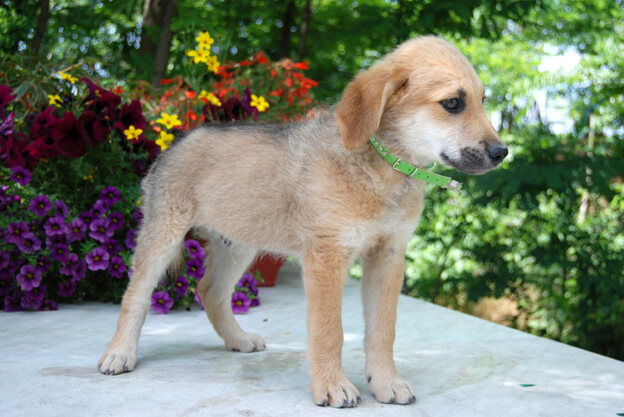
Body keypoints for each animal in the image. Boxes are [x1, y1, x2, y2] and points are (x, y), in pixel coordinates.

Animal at [98, 35, 507, 408]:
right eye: (452, 103)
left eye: (482, 101)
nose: (502, 152)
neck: (381, 168)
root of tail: (177, 140)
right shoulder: (326, 257)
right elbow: (329, 331)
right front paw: (332, 386)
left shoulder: (388, 256)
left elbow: (383, 329)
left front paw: (386, 382)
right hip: (162, 235)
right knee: (135, 296)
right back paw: (119, 354)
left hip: (237, 244)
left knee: (210, 291)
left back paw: (238, 340)